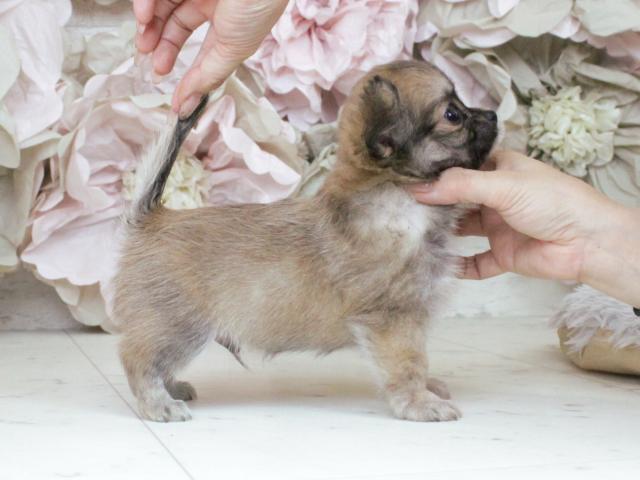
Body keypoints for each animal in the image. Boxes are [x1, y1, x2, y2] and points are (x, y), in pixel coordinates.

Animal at [113, 60, 498, 422]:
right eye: (453, 115)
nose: (493, 114)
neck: (396, 199)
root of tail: (151, 216)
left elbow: (417, 359)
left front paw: (427, 390)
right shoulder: (394, 318)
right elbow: (409, 363)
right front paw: (419, 403)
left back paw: (172, 388)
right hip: (180, 326)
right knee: (138, 359)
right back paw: (158, 404)